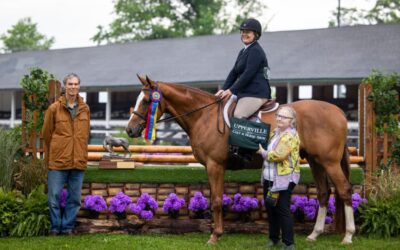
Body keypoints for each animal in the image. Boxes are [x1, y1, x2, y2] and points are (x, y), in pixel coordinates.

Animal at [126, 75, 354, 244]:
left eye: (147, 101)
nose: (130, 130)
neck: (203, 117)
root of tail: (338, 112)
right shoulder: (210, 167)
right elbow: (213, 198)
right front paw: (214, 231)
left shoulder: (215, 165)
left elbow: (217, 201)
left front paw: (215, 236)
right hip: (316, 161)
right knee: (324, 193)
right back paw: (314, 234)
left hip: (329, 162)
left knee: (344, 190)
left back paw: (348, 236)